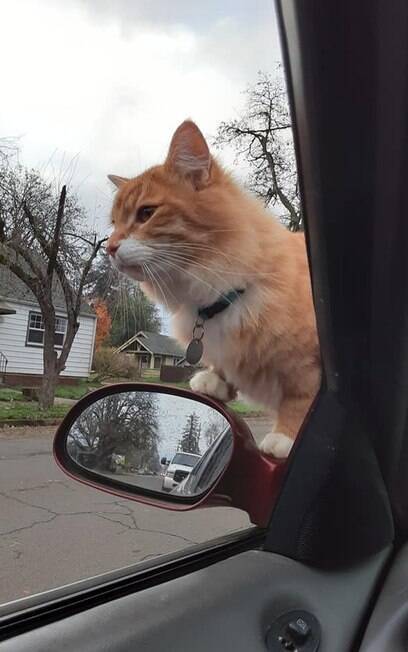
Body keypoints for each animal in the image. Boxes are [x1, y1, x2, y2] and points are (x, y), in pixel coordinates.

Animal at [107, 122, 320, 458]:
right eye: (113, 223)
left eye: (146, 213)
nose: (109, 247)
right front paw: (214, 380)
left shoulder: (308, 365)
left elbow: (300, 395)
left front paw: (285, 437)